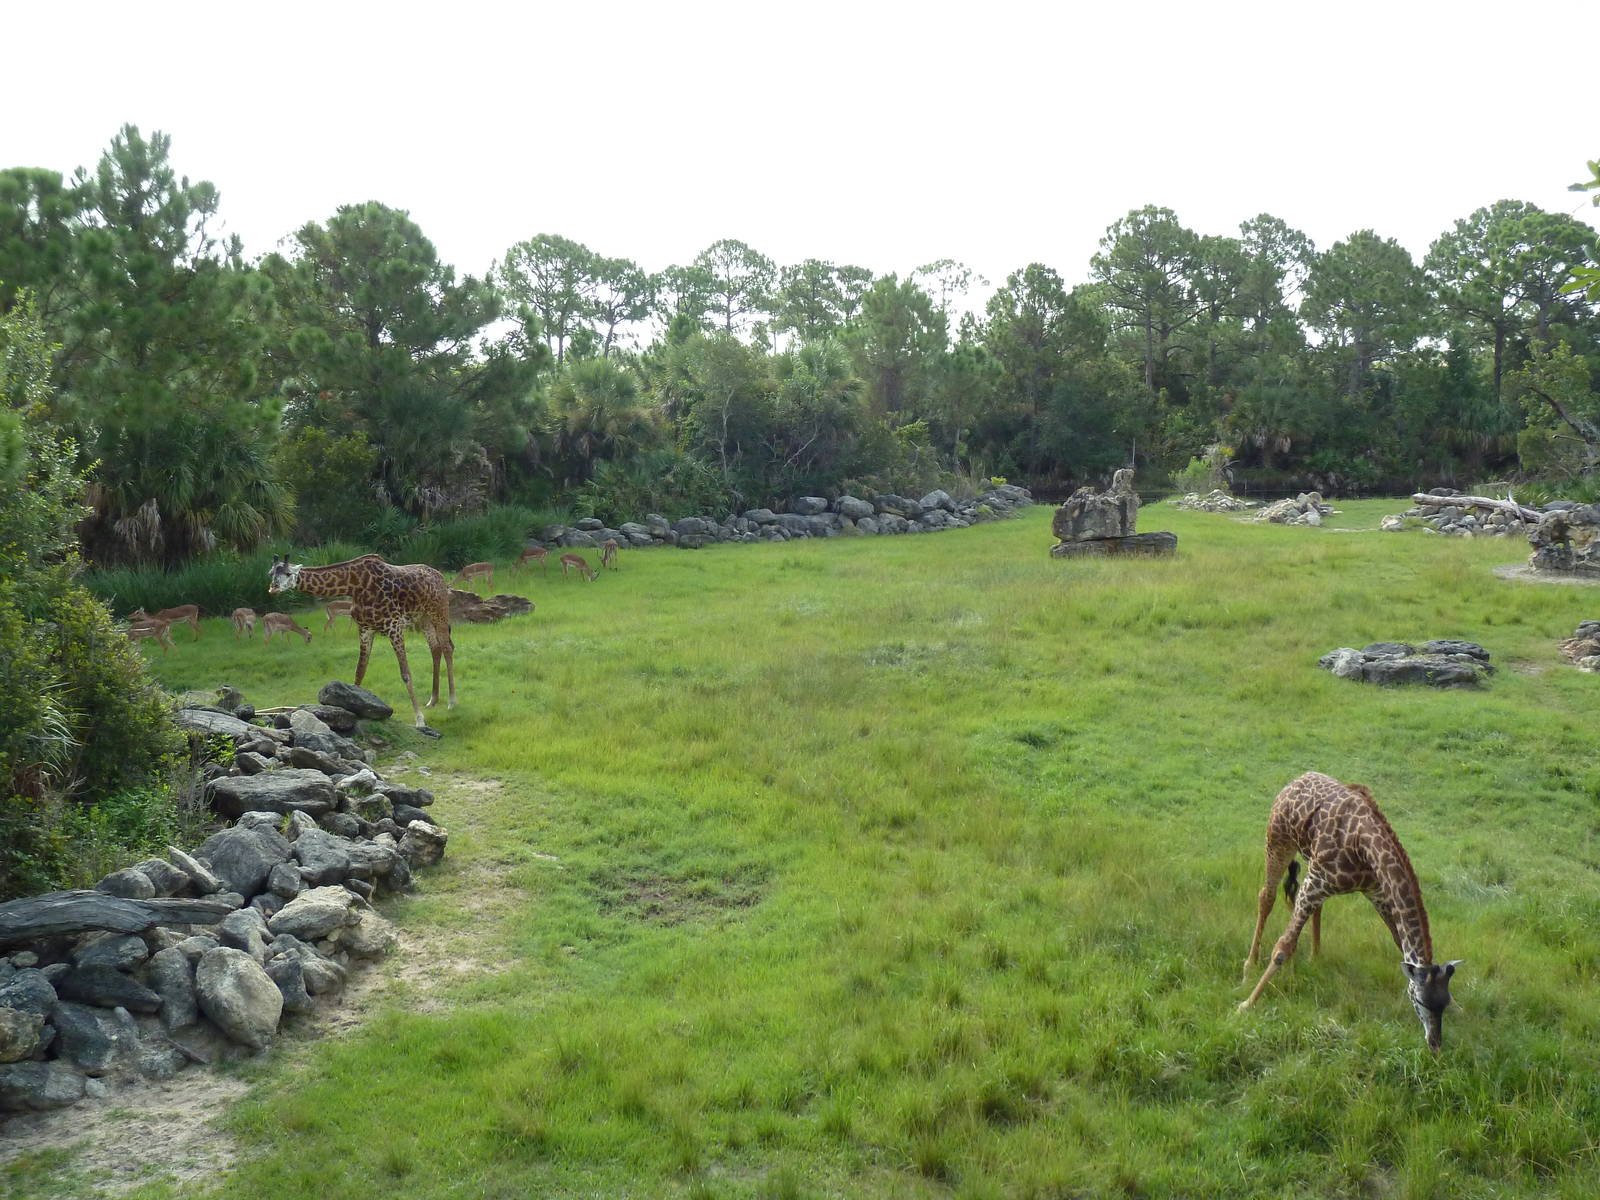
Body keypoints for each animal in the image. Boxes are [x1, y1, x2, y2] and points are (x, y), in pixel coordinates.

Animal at [267, 553, 455, 735]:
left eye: (288, 573)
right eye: (271, 573)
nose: (273, 588)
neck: (354, 585)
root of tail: (440, 576)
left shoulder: (394, 627)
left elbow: (406, 674)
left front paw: (420, 720)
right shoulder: (365, 629)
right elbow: (359, 672)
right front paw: (352, 709)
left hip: (439, 612)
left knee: (447, 648)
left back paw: (452, 701)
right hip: (423, 619)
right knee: (435, 648)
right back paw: (433, 700)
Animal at [1239, 771, 1462, 1051]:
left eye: (1444, 1001)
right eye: (1421, 1000)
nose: (1435, 1044)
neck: (1365, 847)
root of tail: (1297, 779)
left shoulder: (1375, 891)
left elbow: (1398, 940)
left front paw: (1460, 1008)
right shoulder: (1317, 880)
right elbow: (1282, 948)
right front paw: (1247, 1004)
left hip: (1310, 864)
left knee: (1312, 906)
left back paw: (1315, 956)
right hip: (1278, 841)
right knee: (1266, 897)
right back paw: (1249, 966)